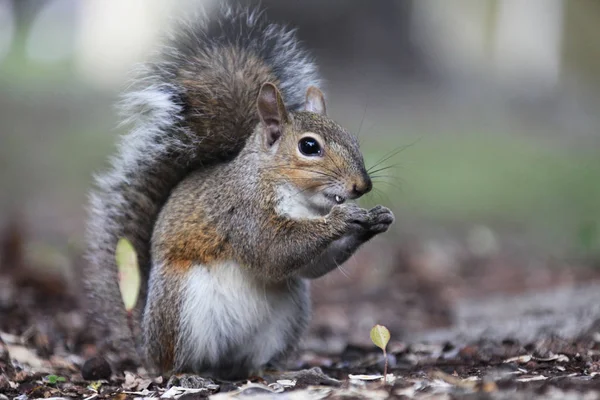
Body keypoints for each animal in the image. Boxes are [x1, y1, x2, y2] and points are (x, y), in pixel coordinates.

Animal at [83, 6, 394, 380]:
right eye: (309, 147)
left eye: (353, 140)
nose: (363, 186)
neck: (301, 202)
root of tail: (145, 342)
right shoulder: (242, 212)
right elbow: (273, 250)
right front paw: (344, 217)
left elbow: (309, 266)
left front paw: (376, 220)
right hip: (180, 306)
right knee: (176, 361)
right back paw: (188, 373)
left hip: (287, 316)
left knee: (253, 361)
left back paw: (278, 372)